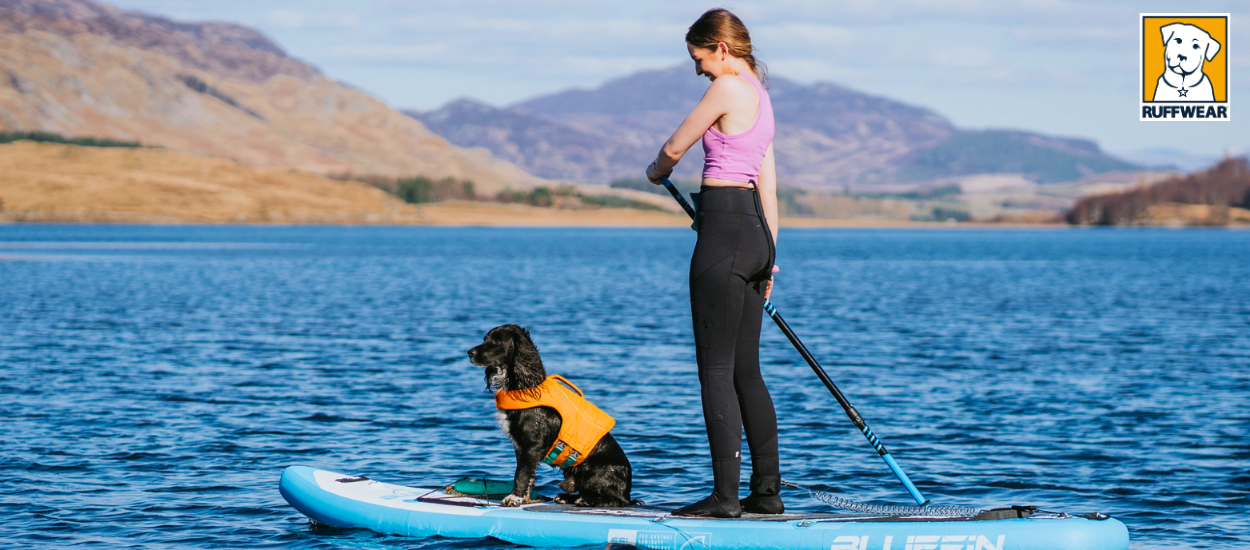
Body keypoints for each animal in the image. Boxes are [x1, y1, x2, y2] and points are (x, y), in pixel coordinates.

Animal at [470, 325, 635, 510]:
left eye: (498, 341)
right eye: (485, 339)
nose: (469, 352)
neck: (522, 384)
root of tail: (626, 489)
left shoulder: (531, 445)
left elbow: (521, 474)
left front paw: (513, 498)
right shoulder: (522, 447)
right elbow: (528, 474)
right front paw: (524, 498)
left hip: (594, 472)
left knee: (617, 500)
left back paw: (586, 500)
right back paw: (566, 497)